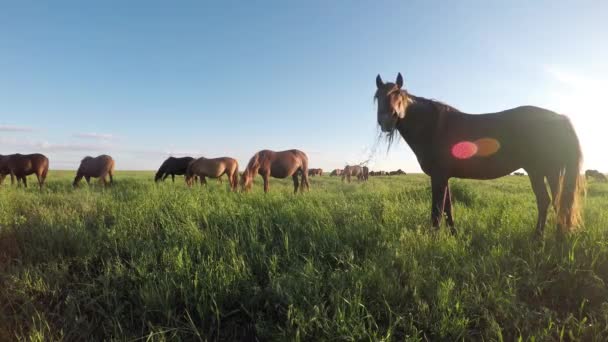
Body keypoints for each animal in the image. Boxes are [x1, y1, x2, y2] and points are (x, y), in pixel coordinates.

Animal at [376, 73, 584, 236]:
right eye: (377, 96)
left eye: (397, 94)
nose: (386, 121)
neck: (434, 127)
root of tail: (560, 118)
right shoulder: (444, 176)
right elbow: (448, 208)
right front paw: (454, 234)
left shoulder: (438, 176)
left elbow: (437, 211)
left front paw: (433, 240)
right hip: (552, 171)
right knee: (557, 202)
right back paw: (557, 236)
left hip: (538, 170)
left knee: (545, 201)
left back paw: (539, 237)